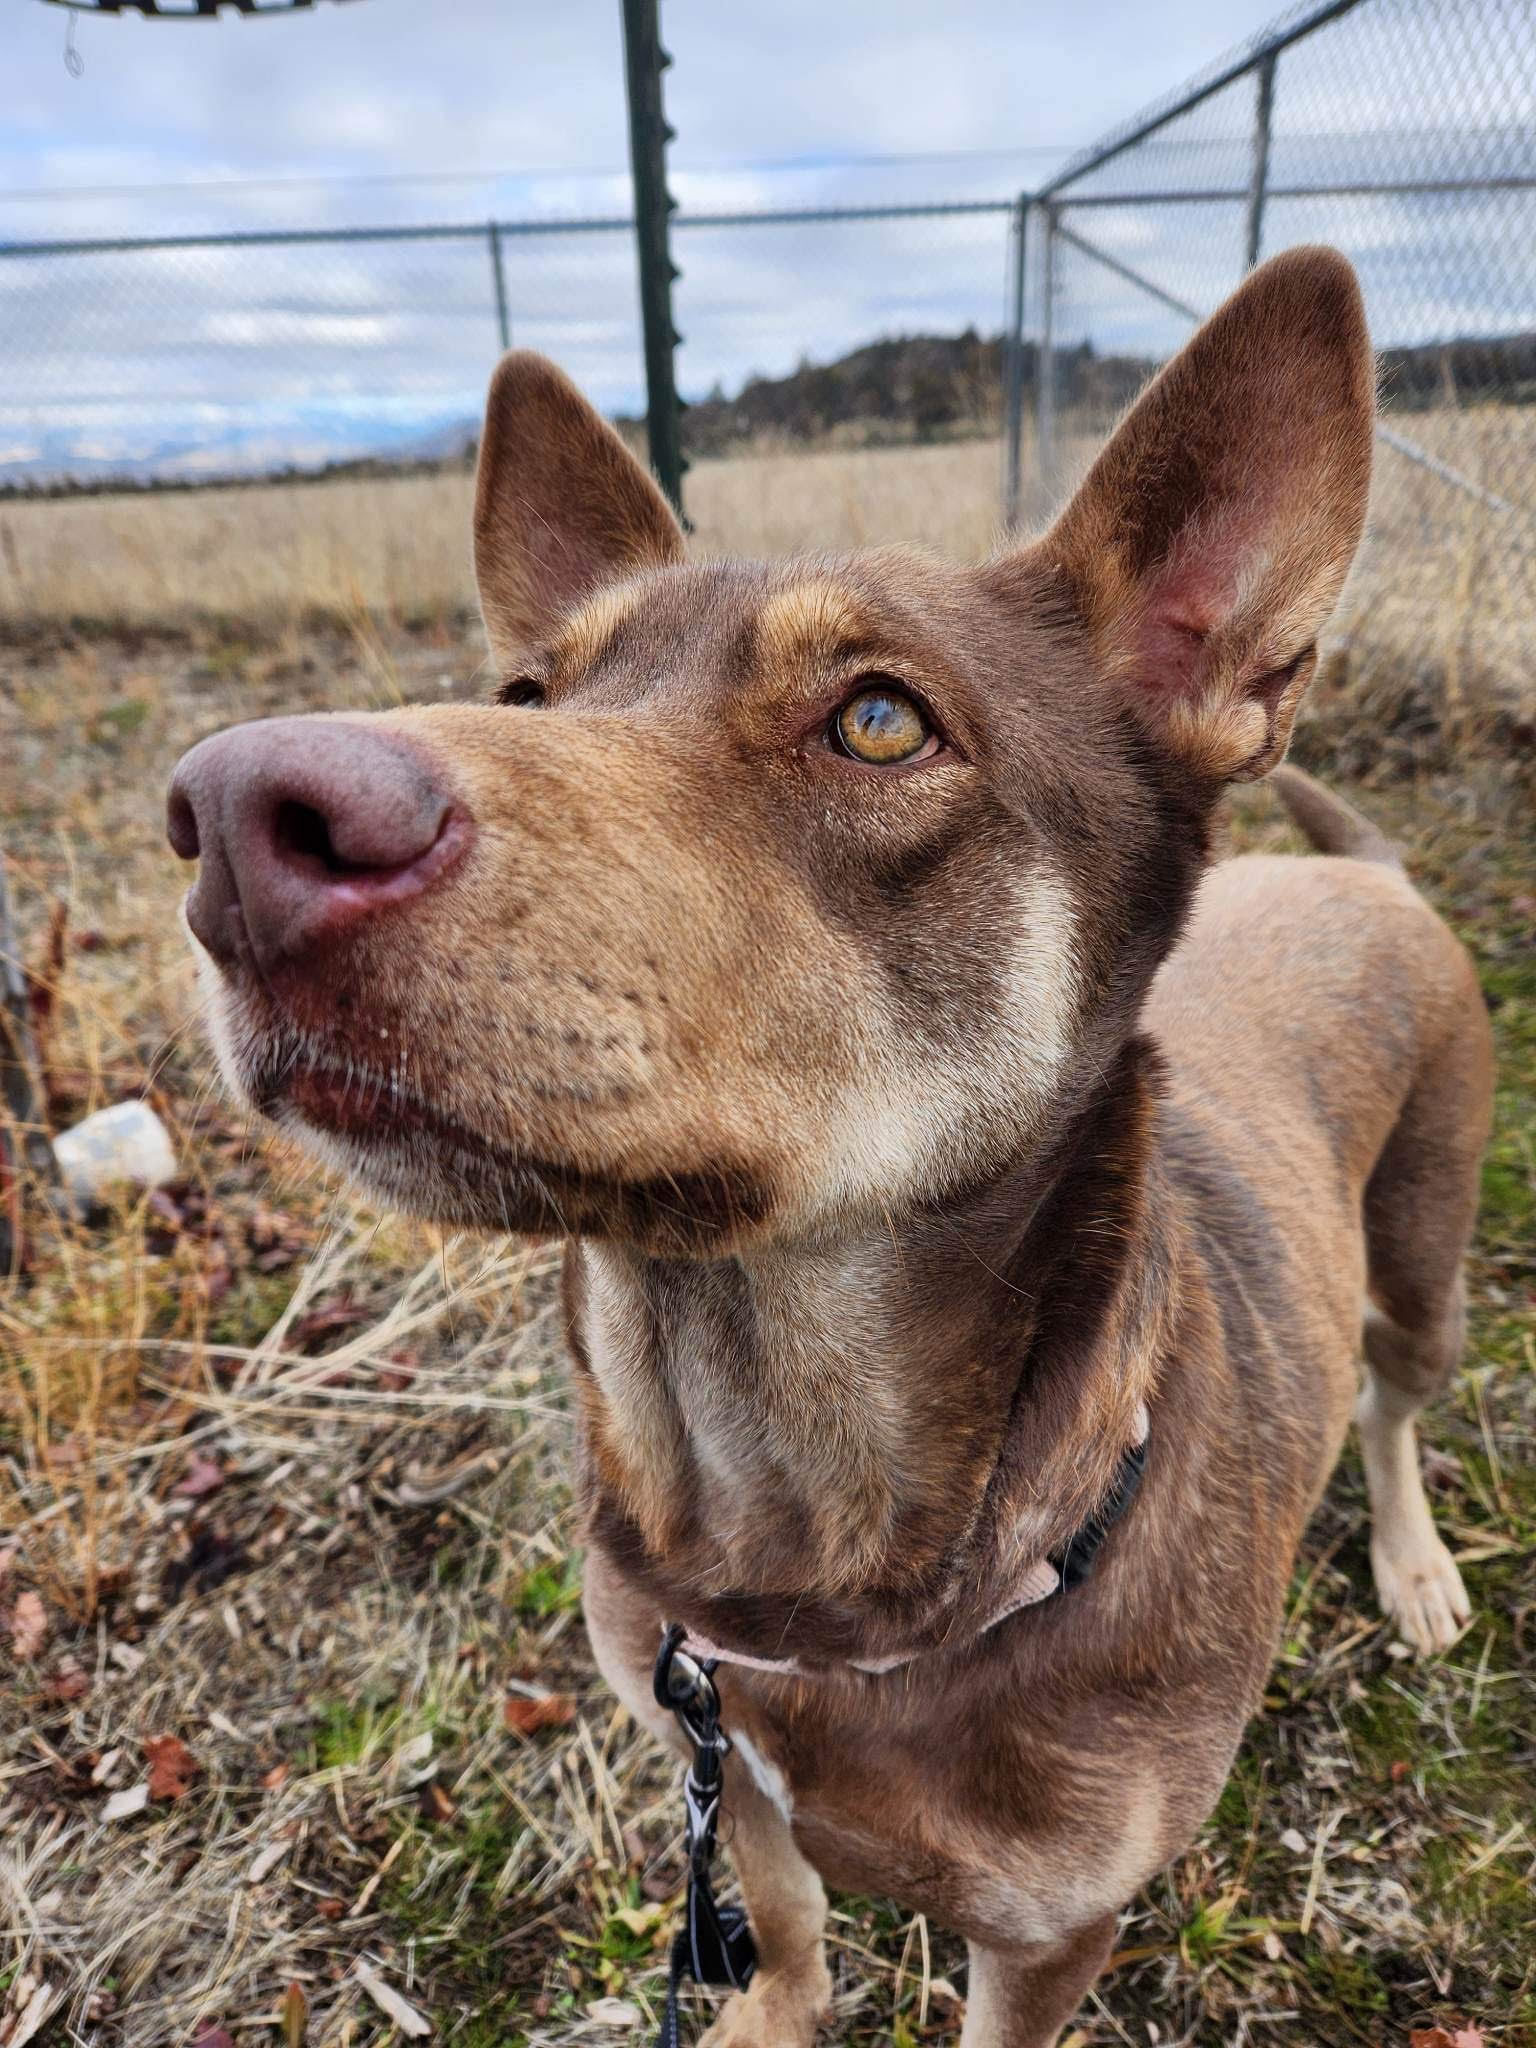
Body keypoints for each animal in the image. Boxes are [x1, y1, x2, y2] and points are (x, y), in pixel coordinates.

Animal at [167, 251, 1490, 2048]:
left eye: (876, 720)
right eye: (526, 693)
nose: (235, 824)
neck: (789, 1527)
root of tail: (1375, 874)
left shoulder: (1051, 1929)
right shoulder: (715, 1755)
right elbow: (787, 1921)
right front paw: (773, 2012)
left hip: (1425, 1258)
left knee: (1391, 1405)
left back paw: (1414, 1564)